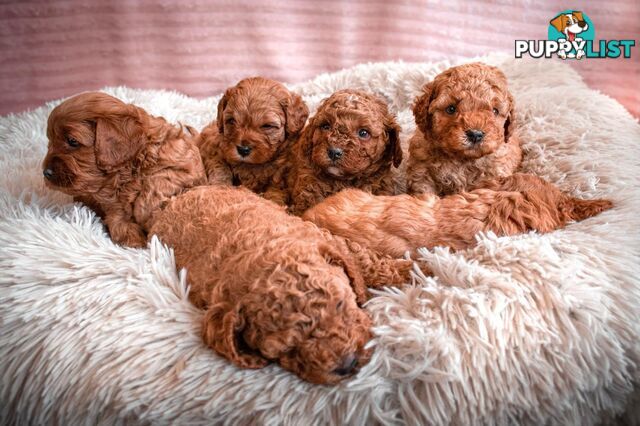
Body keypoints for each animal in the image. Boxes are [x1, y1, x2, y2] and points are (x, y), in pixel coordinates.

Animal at [42, 91, 206, 248]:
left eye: (72, 141)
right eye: (49, 142)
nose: (46, 172)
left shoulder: (184, 164)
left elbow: (159, 180)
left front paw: (145, 207)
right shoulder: (112, 206)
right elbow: (119, 222)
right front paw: (134, 241)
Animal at [148, 185, 412, 384]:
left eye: (339, 304)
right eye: (286, 350)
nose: (348, 364)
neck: (257, 250)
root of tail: (173, 200)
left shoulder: (325, 238)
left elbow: (365, 260)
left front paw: (412, 271)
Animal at [408, 61, 524, 196]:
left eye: (495, 111)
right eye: (451, 109)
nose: (475, 134)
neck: (463, 159)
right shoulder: (421, 172)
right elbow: (424, 191)